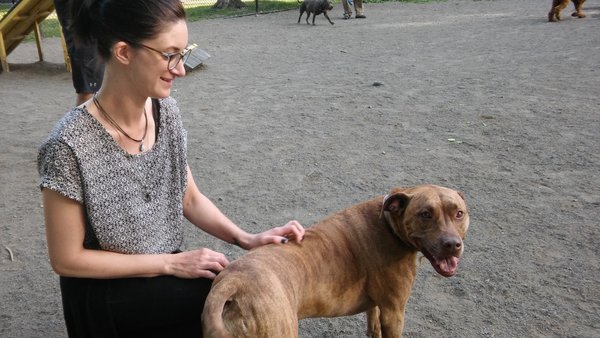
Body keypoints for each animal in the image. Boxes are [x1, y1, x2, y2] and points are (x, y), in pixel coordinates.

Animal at [204, 185, 472, 338]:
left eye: (459, 213)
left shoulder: (378, 307)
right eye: (425, 214)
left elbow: (373, 323)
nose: (452, 244)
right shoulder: (394, 312)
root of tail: (232, 282)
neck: (389, 223)